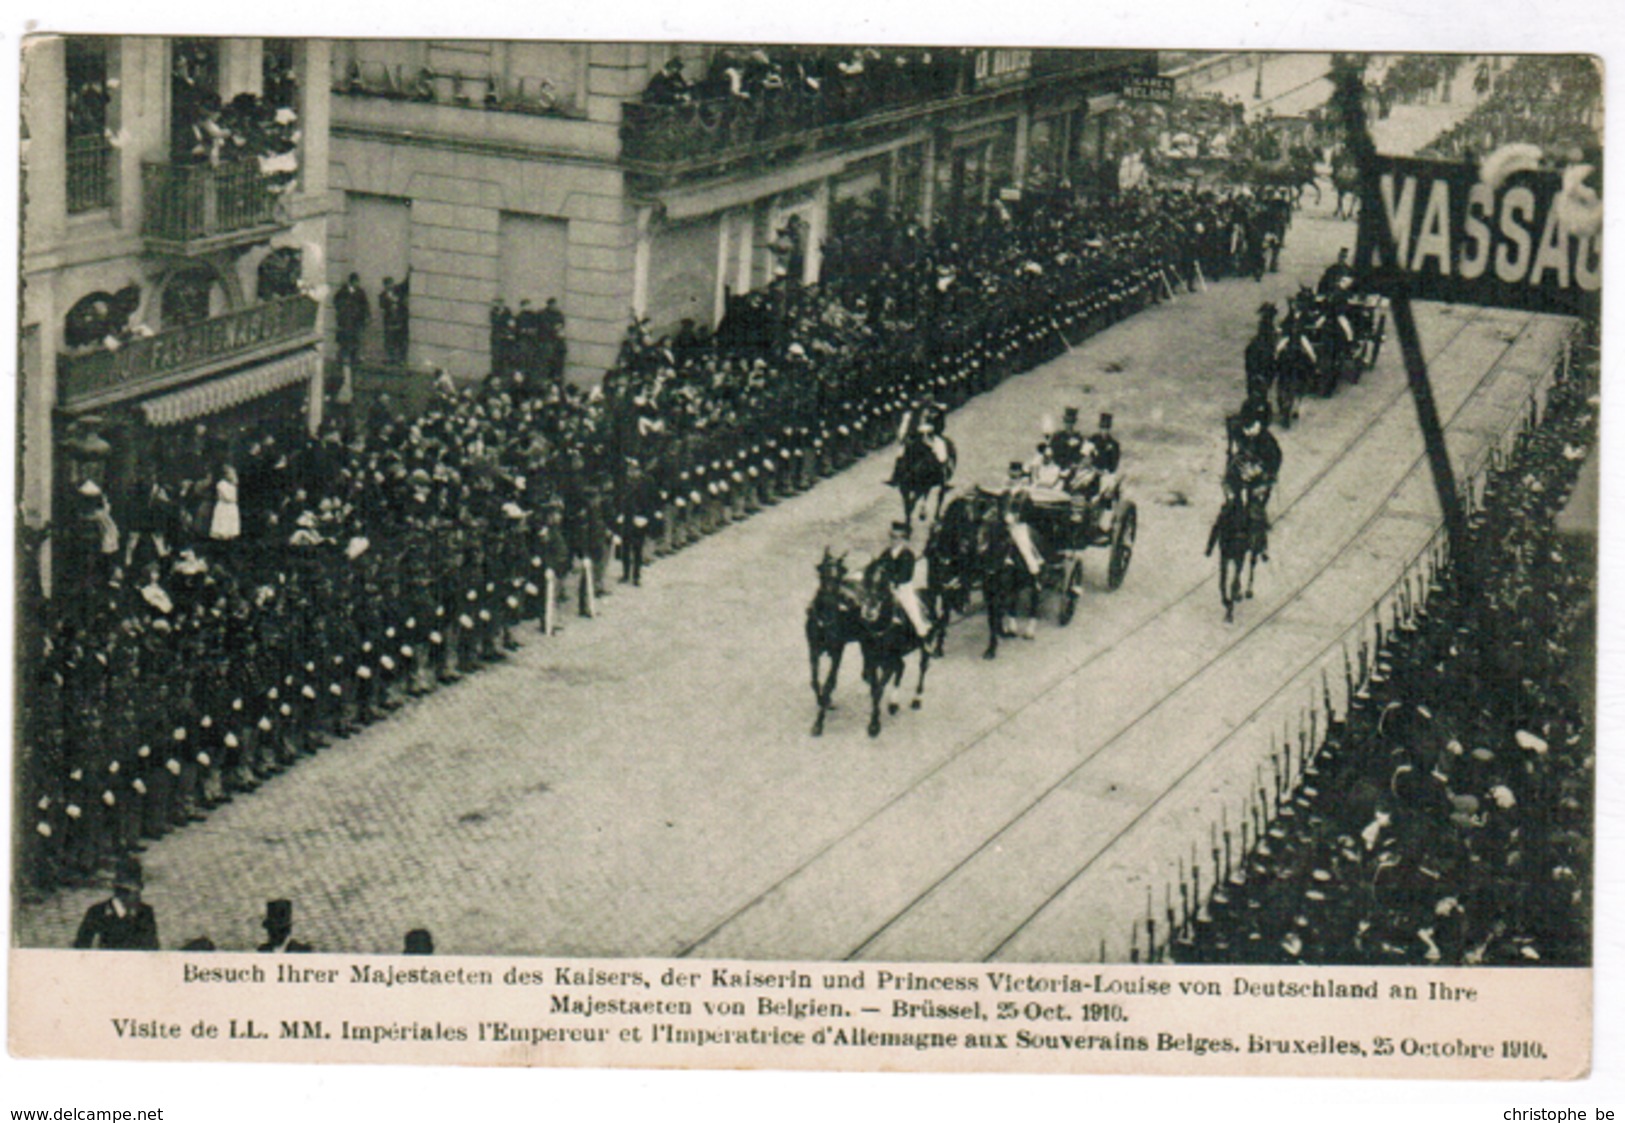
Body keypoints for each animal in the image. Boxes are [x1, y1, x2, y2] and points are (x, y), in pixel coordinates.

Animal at [802, 546, 864, 737]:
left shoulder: (837, 651)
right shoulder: (813, 649)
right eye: (823, 571)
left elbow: (829, 683)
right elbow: (815, 681)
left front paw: (818, 723)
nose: (830, 598)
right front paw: (824, 700)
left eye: (840, 573)